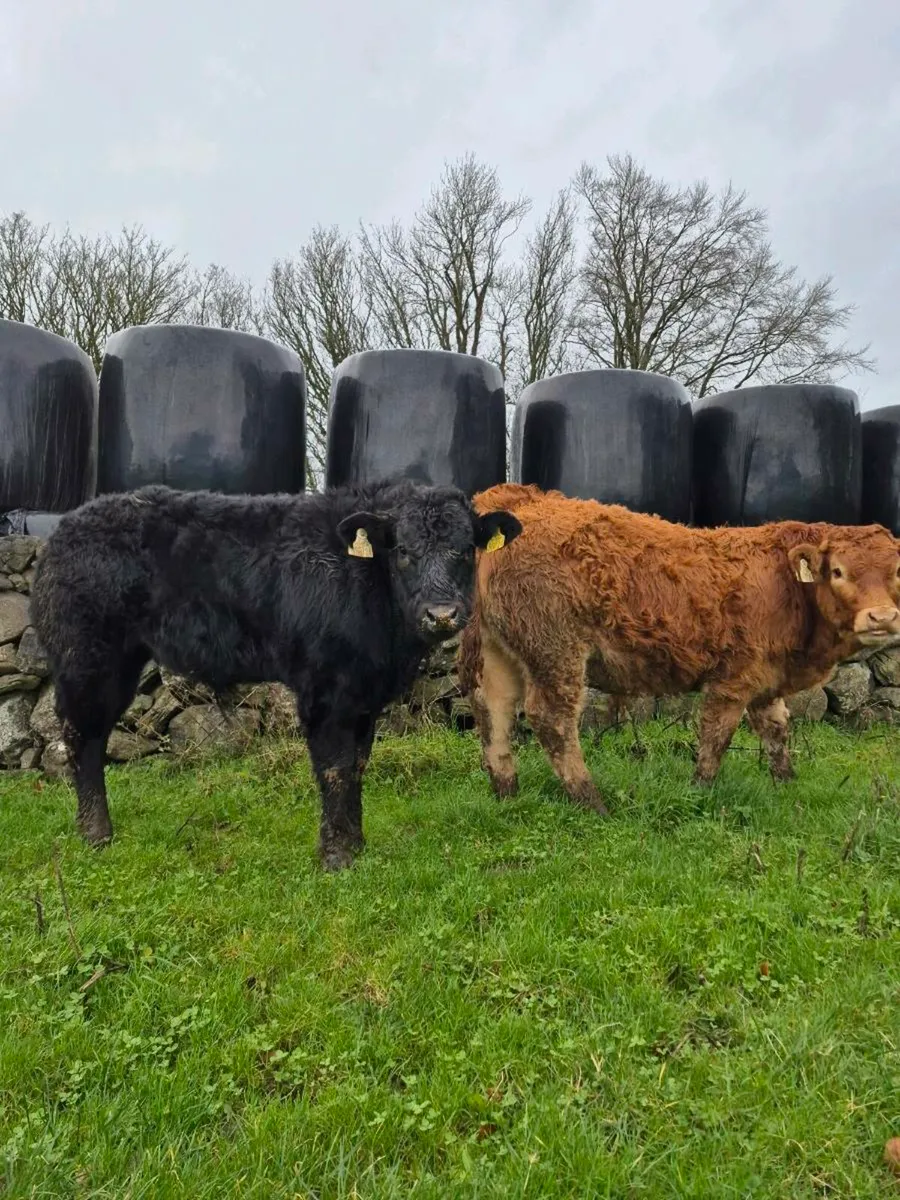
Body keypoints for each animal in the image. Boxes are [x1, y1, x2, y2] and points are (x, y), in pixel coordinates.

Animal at [30, 481, 521, 869]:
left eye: (466, 549)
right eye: (403, 551)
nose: (442, 614)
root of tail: (67, 528)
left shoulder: (363, 697)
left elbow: (357, 765)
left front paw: (356, 844)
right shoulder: (324, 691)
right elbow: (335, 768)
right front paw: (337, 857)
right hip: (88, 662)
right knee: (82, 739)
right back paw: (97, 835)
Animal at [459, 483, 900, 812]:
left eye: (896, 572)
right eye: (838, 571)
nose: (881, 617)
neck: (787, 584)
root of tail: (523, 498)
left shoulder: (767, 679)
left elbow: (777, 732)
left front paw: (788, 785)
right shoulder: (732, 680)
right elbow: (716, 738)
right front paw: (699, 791)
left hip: (501, 650)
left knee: (493, 708)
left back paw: (507, 791)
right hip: (555, 649)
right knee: (551, 718)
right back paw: (591, 800)